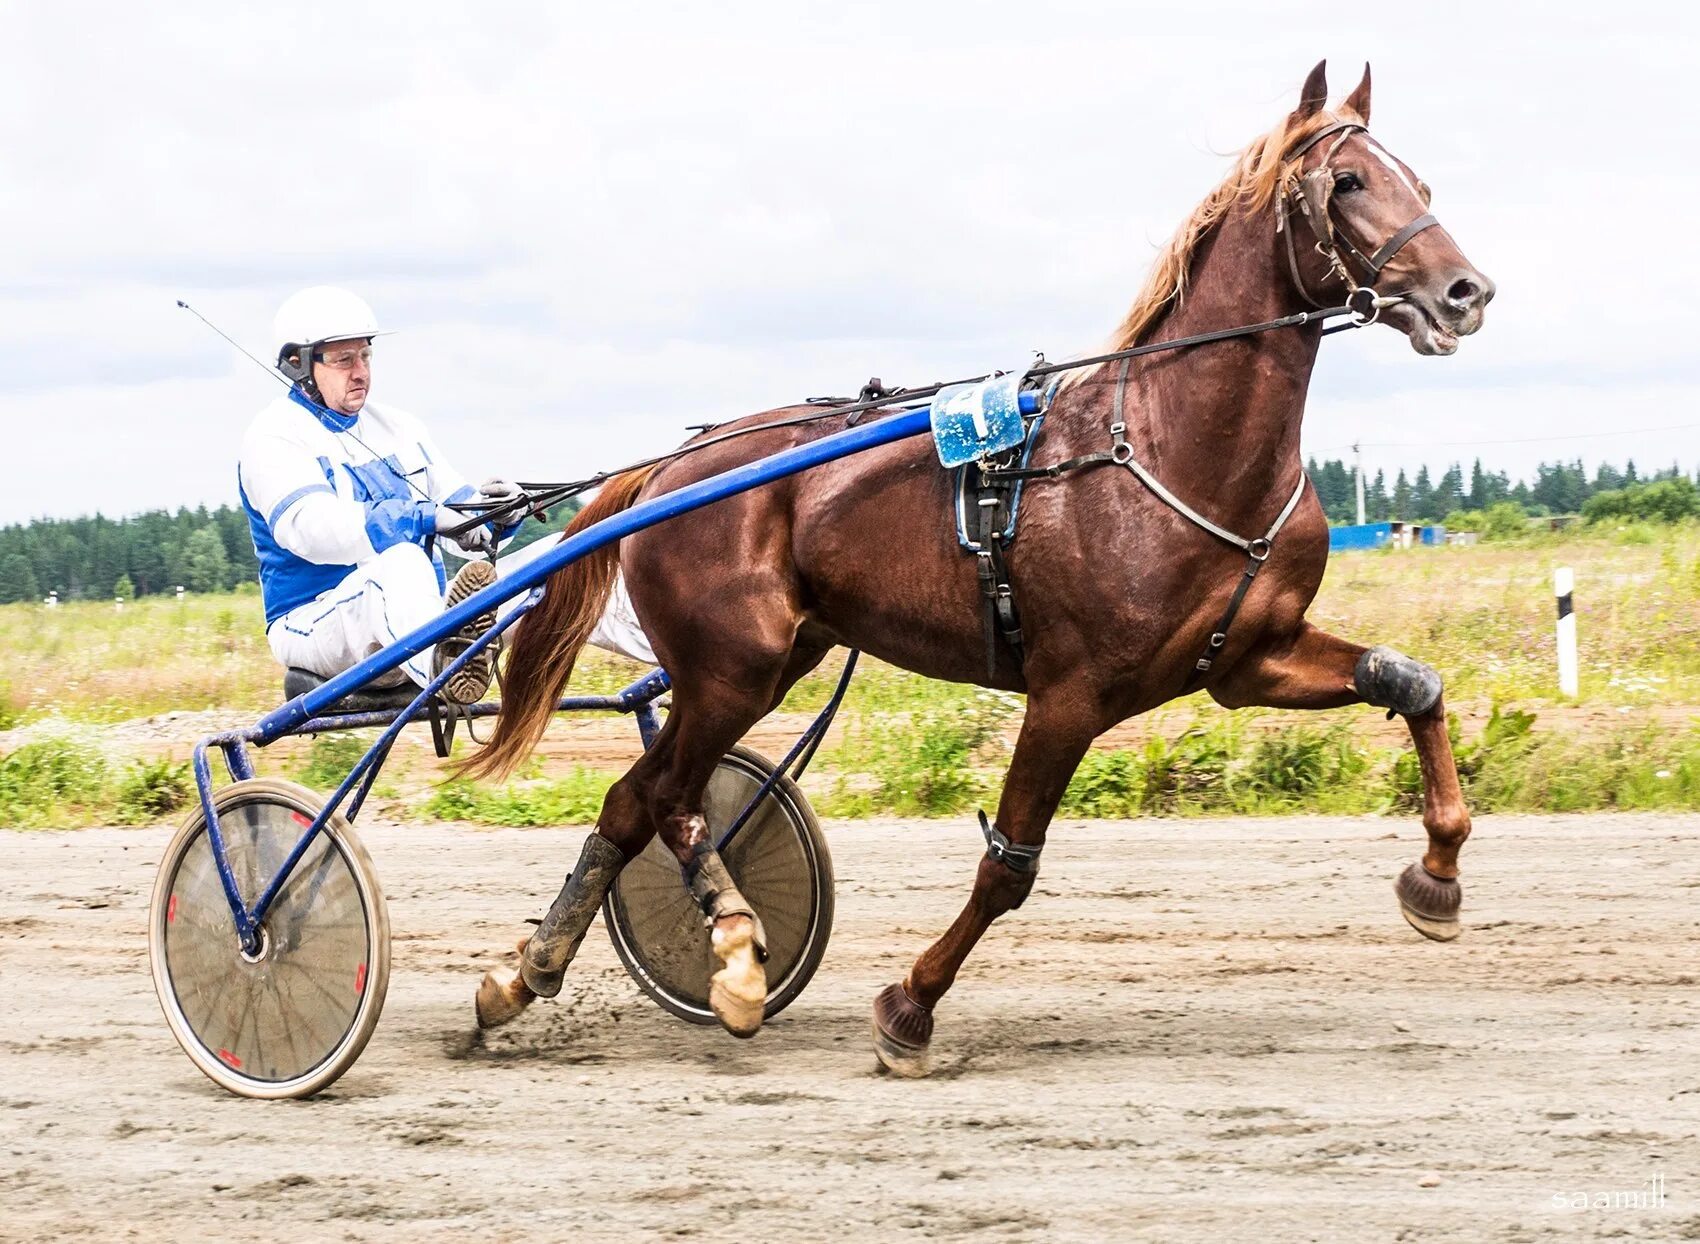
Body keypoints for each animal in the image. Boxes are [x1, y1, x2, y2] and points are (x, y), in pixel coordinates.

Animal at [469, 58, 1502, 1074]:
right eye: (1348, 181)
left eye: (1424, 182)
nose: (1467, 291)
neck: (1172, 447)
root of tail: (674, 465)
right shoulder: (1072, 692)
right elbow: (1010, 864)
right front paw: (909, 1008)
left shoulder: (1248, 660)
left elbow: (1412, 683)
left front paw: (1437, 878)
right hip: (733, 667)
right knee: (668, 797)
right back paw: (727, 956)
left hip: (767, 662)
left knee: (635, 800)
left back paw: (532, 973)